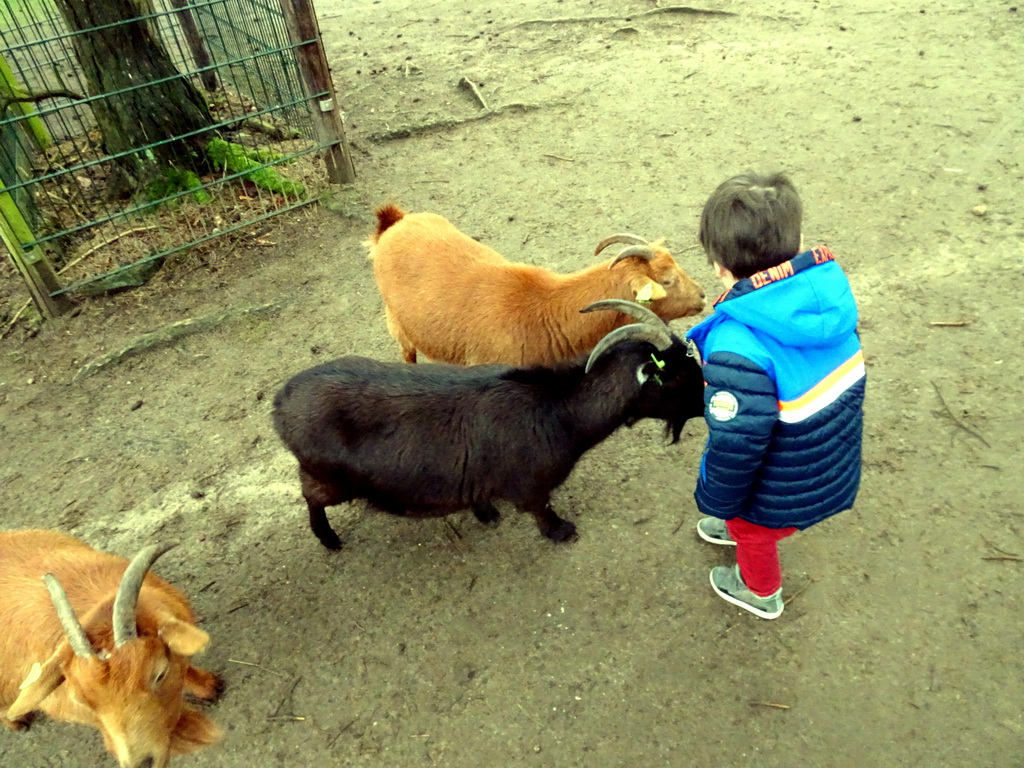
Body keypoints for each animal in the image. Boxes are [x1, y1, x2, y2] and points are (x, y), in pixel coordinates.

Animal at [270, 303, 704, 552]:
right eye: (681, 376)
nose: (705, 405)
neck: (560, 409)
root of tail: (280, 403)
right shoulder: (533, 485)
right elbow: (541, 508)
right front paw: (561, 531)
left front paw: (486, 513)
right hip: (328, 477)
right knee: (310, 499)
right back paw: (329, 540)